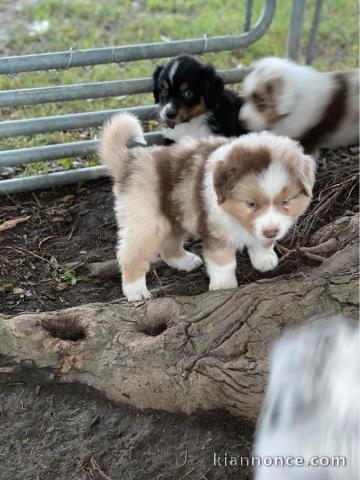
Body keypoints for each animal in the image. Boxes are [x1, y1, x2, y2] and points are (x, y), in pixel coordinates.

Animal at [99, 112, 316, 300]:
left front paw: (264, 260)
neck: (237, 218)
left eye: (286, 202)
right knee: (130, 254)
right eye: (251, 204)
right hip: (147, 222)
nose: (271, 231)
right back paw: (136, 291)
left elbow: (261, 243)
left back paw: (186, 261)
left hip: (174, 212)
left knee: (168, 246)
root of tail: (129, 161)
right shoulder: (215, 231)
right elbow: (223, 262)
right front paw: (223, 286)